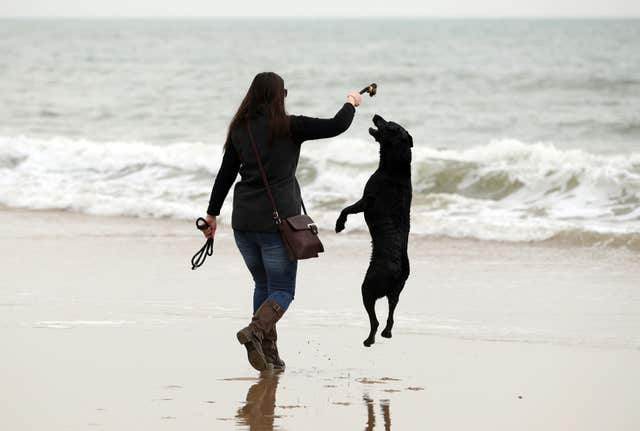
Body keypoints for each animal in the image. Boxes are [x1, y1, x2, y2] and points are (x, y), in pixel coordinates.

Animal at [336, 115, 410, 348]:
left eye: (389, 125)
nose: (376, 115)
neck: (396, 167)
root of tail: (398, 271)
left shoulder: (366, 200)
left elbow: (346, 209)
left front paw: (339, 225)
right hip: (396, 292)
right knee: (391, 314)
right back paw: (387, 333)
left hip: (367, 288)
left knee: (375, 320)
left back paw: (369, 340)